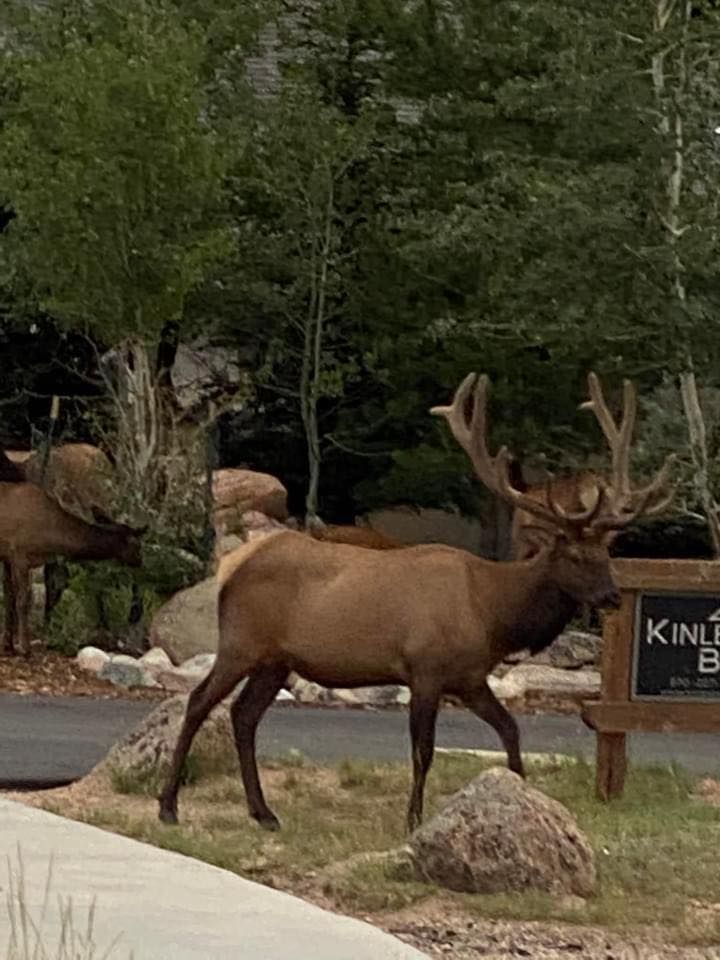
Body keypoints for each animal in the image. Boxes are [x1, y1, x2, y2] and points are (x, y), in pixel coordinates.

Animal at [159, 368, 676, 832]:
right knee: (199, 702)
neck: (491, 612)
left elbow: (510, 729)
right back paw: (169, 806)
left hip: (276, 660)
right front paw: (412, 820)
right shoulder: (424, 668)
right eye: (572, 554)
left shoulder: (469, 677)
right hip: (240, 642)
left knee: (244, 715)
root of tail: (231, 567)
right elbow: (422, 751)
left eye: (607, 553)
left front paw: (521, 795)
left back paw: (263, 813)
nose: (611, 595)